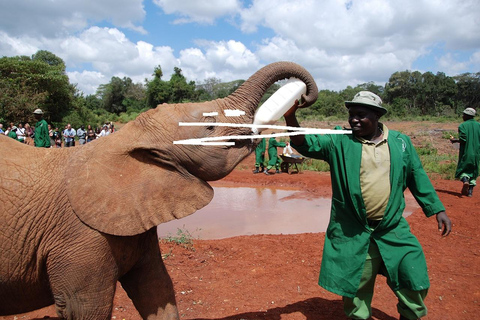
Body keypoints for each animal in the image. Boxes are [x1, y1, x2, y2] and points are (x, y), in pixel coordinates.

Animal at [0, 61, 318, 318]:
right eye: (209, 127)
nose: (302, 97)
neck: (126, 139)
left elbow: (156, 288)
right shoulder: (78, 236)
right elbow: (84, 308)